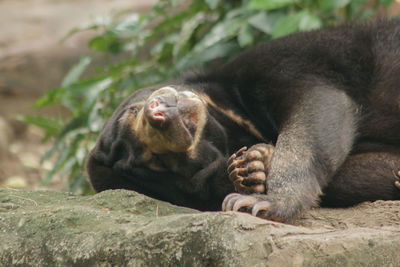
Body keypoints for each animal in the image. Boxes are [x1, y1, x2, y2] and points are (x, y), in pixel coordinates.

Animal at [86, 20, 400, 222]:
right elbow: (378, 169)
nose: (158, 116)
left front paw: (263, 200)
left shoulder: (289, 59)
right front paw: (252, 168)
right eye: (156, 161)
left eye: (134, 110)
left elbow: (318, 104)